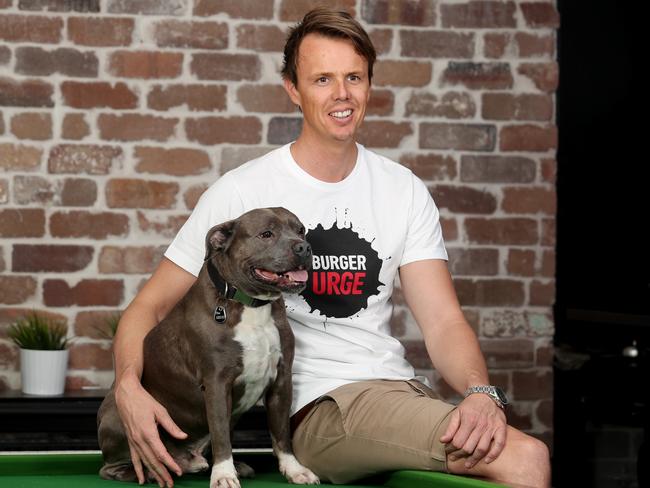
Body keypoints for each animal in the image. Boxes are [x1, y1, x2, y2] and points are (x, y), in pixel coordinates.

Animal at [97, 207, 318, 488]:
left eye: (301, 230)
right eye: (266, 234)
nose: (304, 247)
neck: (251, 304)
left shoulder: (281, 380)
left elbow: (281, 433)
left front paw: (294, 469)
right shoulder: (216, 383)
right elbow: (221, 433)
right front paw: (223, 475)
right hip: (119, 416)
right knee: (111, 467)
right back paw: (146, 472)